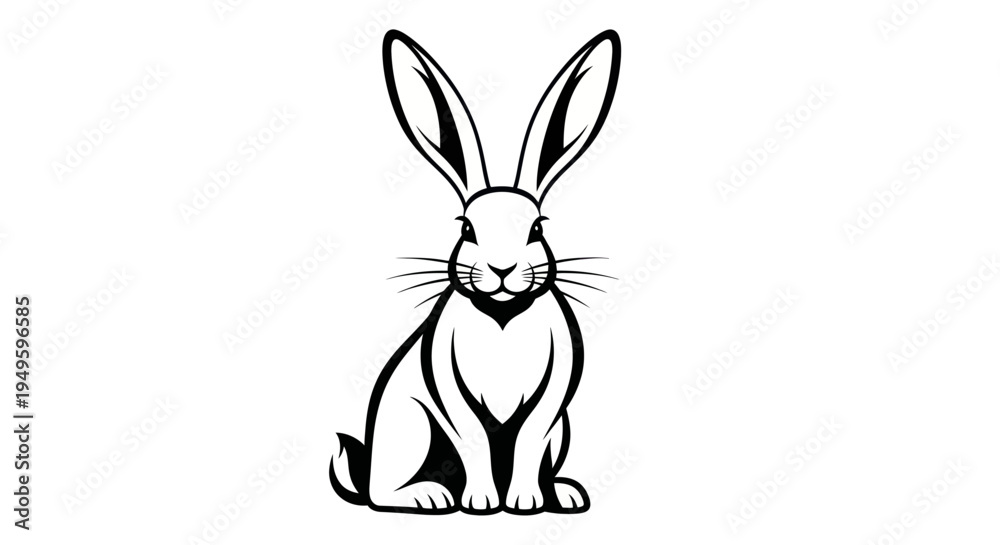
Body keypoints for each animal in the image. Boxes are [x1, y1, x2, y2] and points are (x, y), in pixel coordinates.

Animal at [330, 29, 620, 515]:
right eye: (466, 227)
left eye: (537, 227)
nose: (502, 268)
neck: (502, 315)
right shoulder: (445, 387)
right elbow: (472, 441)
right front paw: (482, 502)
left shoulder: (554, 395)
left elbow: (530, 441)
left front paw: (524, 502)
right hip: (411, 426)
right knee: (381, 492)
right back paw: (429, 496)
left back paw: (561, 493)